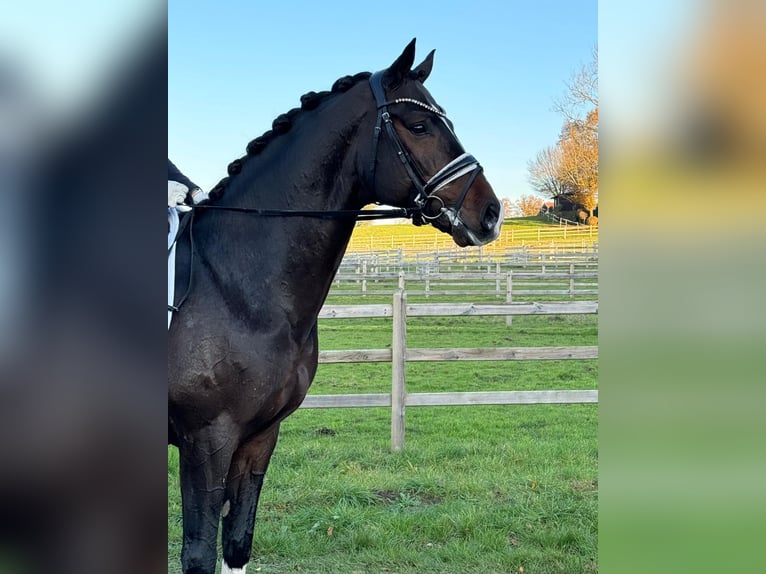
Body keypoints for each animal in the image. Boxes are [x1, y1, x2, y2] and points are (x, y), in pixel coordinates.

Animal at [168, 39, 504, 574]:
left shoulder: (258, 438)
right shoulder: (206, 440)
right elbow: (199, 555)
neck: (232, 285)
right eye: (420, 125)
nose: (490, 214)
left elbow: (237, 543)